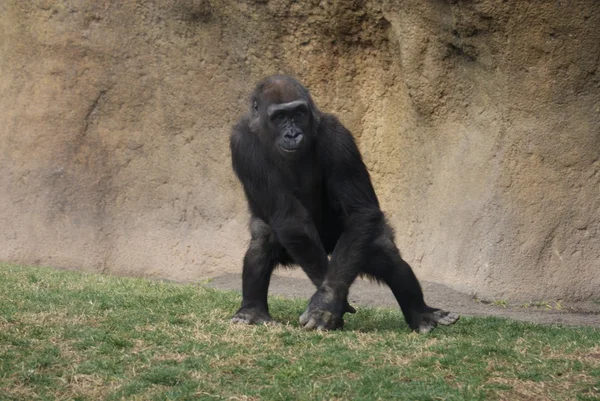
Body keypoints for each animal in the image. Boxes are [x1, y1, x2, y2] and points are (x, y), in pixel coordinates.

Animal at [230, 74, 460, 332]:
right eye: (278, 117)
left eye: (299, 113)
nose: (292, 134)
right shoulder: (242, 143)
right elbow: (289, 219)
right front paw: (333, 304)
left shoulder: (337, 136)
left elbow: (360, 211)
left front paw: (327, 300)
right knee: (263, 238)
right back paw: (252, 311)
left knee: (379, 246)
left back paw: (421, 313)